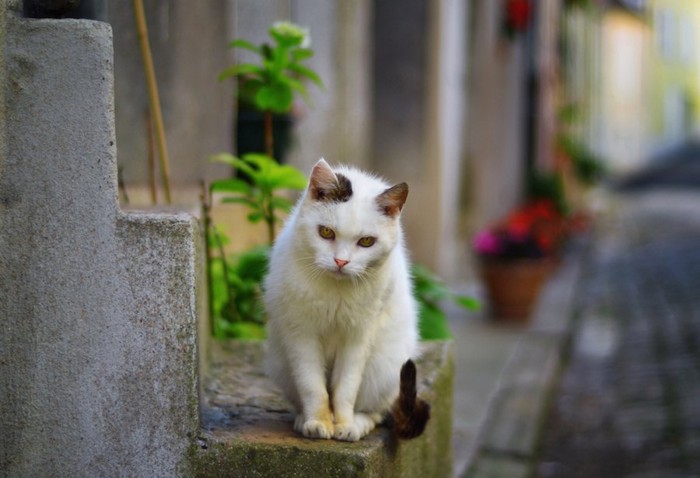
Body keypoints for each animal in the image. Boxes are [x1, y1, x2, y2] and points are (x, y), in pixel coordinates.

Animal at [262, 159, 430, 442]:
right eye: (326, 232)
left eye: (367, 241)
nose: (341, 261)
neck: (335, 291)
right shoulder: (300, 333)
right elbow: (312, 385)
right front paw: (318, 421)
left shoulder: (358, 336)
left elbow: (345, 387)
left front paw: (343, 423)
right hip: (280, 363)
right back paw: (302, 418)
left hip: (385, 368)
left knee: (378, 411)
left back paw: (359, 423)